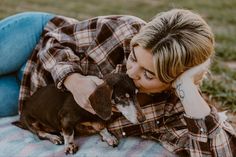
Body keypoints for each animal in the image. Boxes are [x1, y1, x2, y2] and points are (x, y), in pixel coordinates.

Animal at [13, 73, 146, 155]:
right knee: (40, 134)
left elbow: (101, 127)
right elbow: (69, 133)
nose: (143, 119)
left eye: (136, 94)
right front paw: (69, 145)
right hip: (31, 122)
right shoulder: (65, 118)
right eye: (123, 97)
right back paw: (54, 137)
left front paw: (108, 137)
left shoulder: (97, 120)